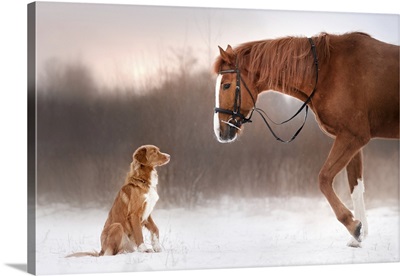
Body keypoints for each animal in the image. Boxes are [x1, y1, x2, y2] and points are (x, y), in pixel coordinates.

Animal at [214, 31, 398, 246]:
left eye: (226, 85)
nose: (220, 131)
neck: (327, 70)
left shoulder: (352, 137)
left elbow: (324, 178)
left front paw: (353, 225)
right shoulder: (354, 141)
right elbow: (356, 187)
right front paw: (358, 235)